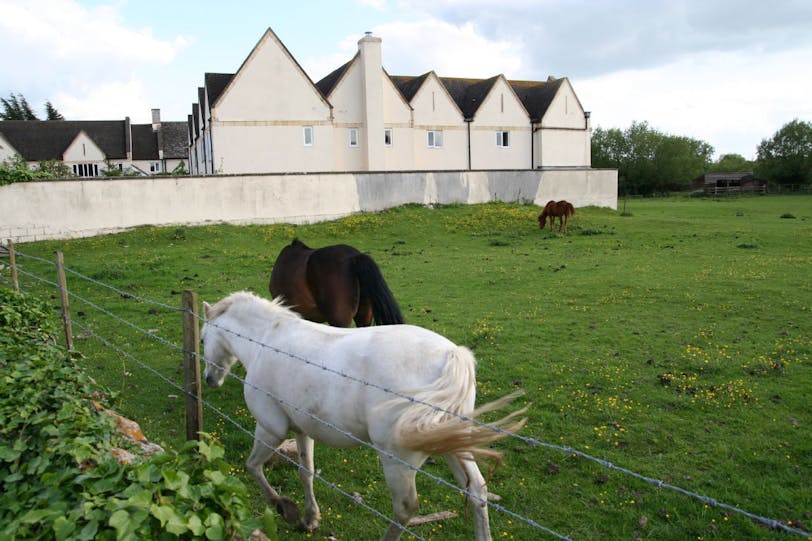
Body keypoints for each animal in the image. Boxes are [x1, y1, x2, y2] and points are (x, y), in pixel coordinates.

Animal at [201, 291, 526, 541]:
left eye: (203, 337)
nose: (209, 379)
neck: (266, 341)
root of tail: (451, 355)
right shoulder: (302, 430)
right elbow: (306, 472)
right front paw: (309, 518)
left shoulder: (270, 429)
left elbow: (253, 467)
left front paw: (286, 509)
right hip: (453, 445)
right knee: (477, 491)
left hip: (398, 461)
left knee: (405, 507)